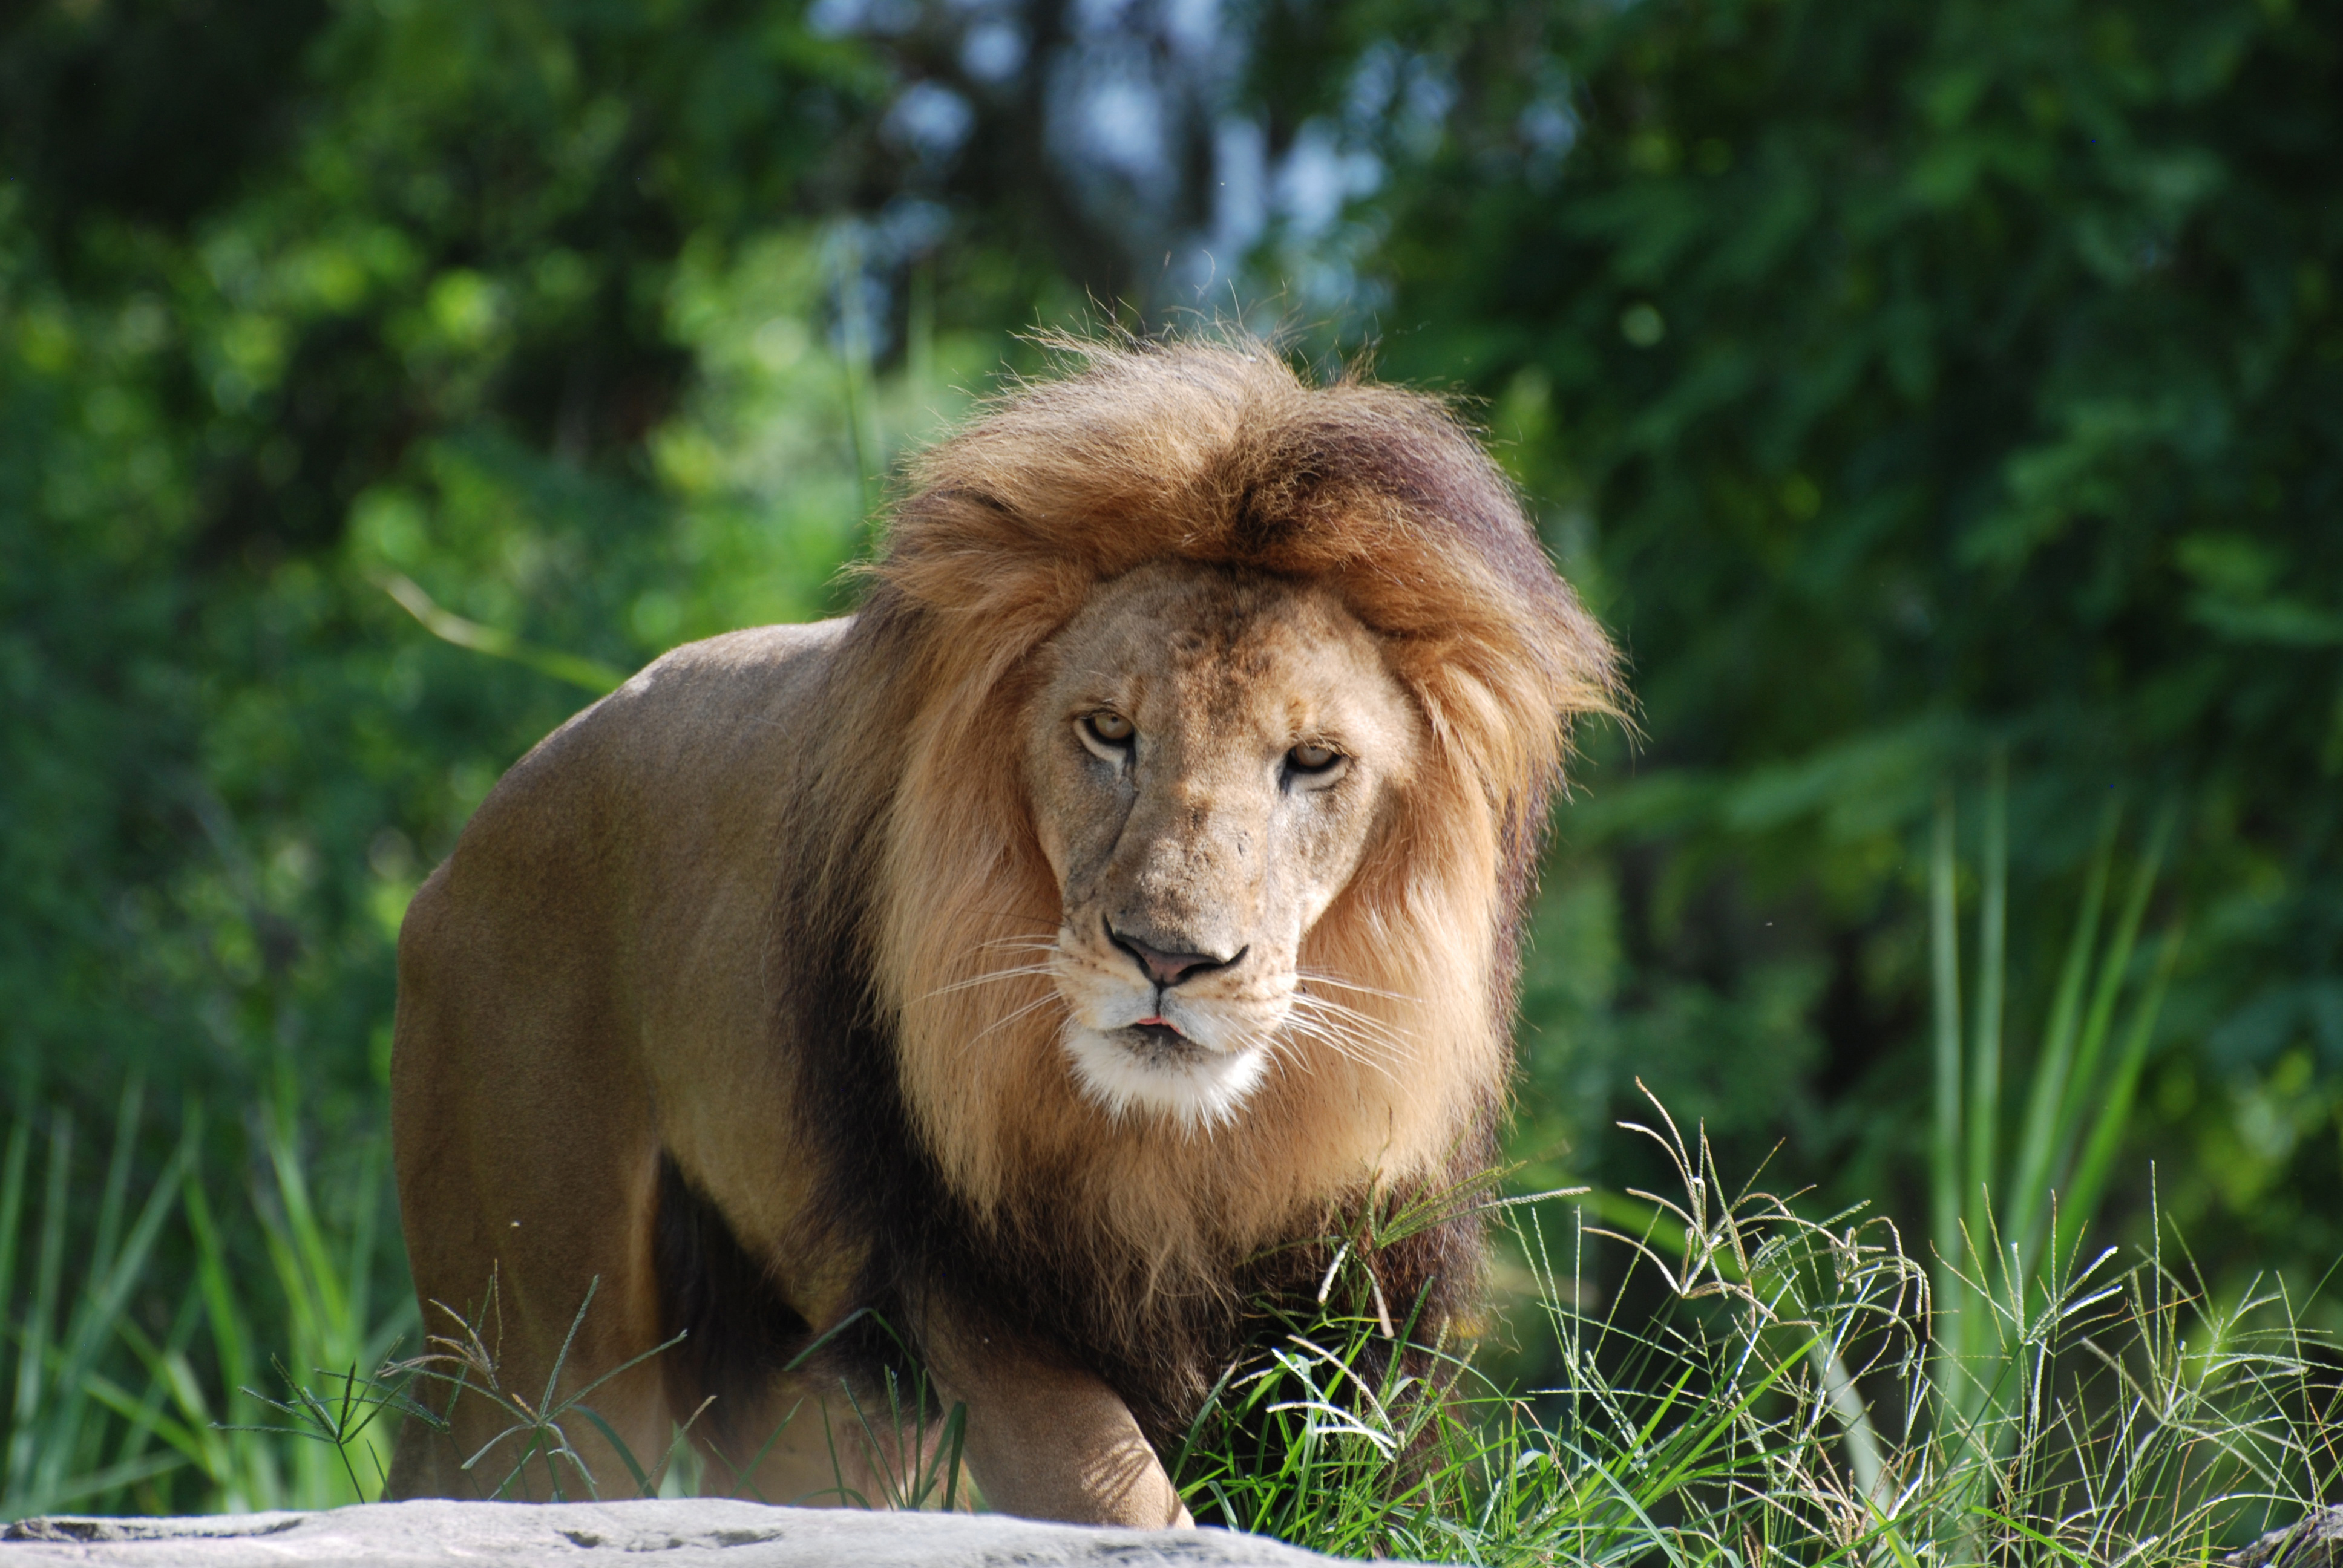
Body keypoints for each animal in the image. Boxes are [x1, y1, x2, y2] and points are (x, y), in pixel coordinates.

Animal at [384, 338, 1617, 1526]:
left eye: (1314, 760)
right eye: (1108, 731)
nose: (1168, 958)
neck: (1172, 1149)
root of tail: (465, 844)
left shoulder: (1347, 1299)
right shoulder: (959, 1278)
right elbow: (1119, 1495)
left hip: (797, 1387)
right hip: (535, 1326)